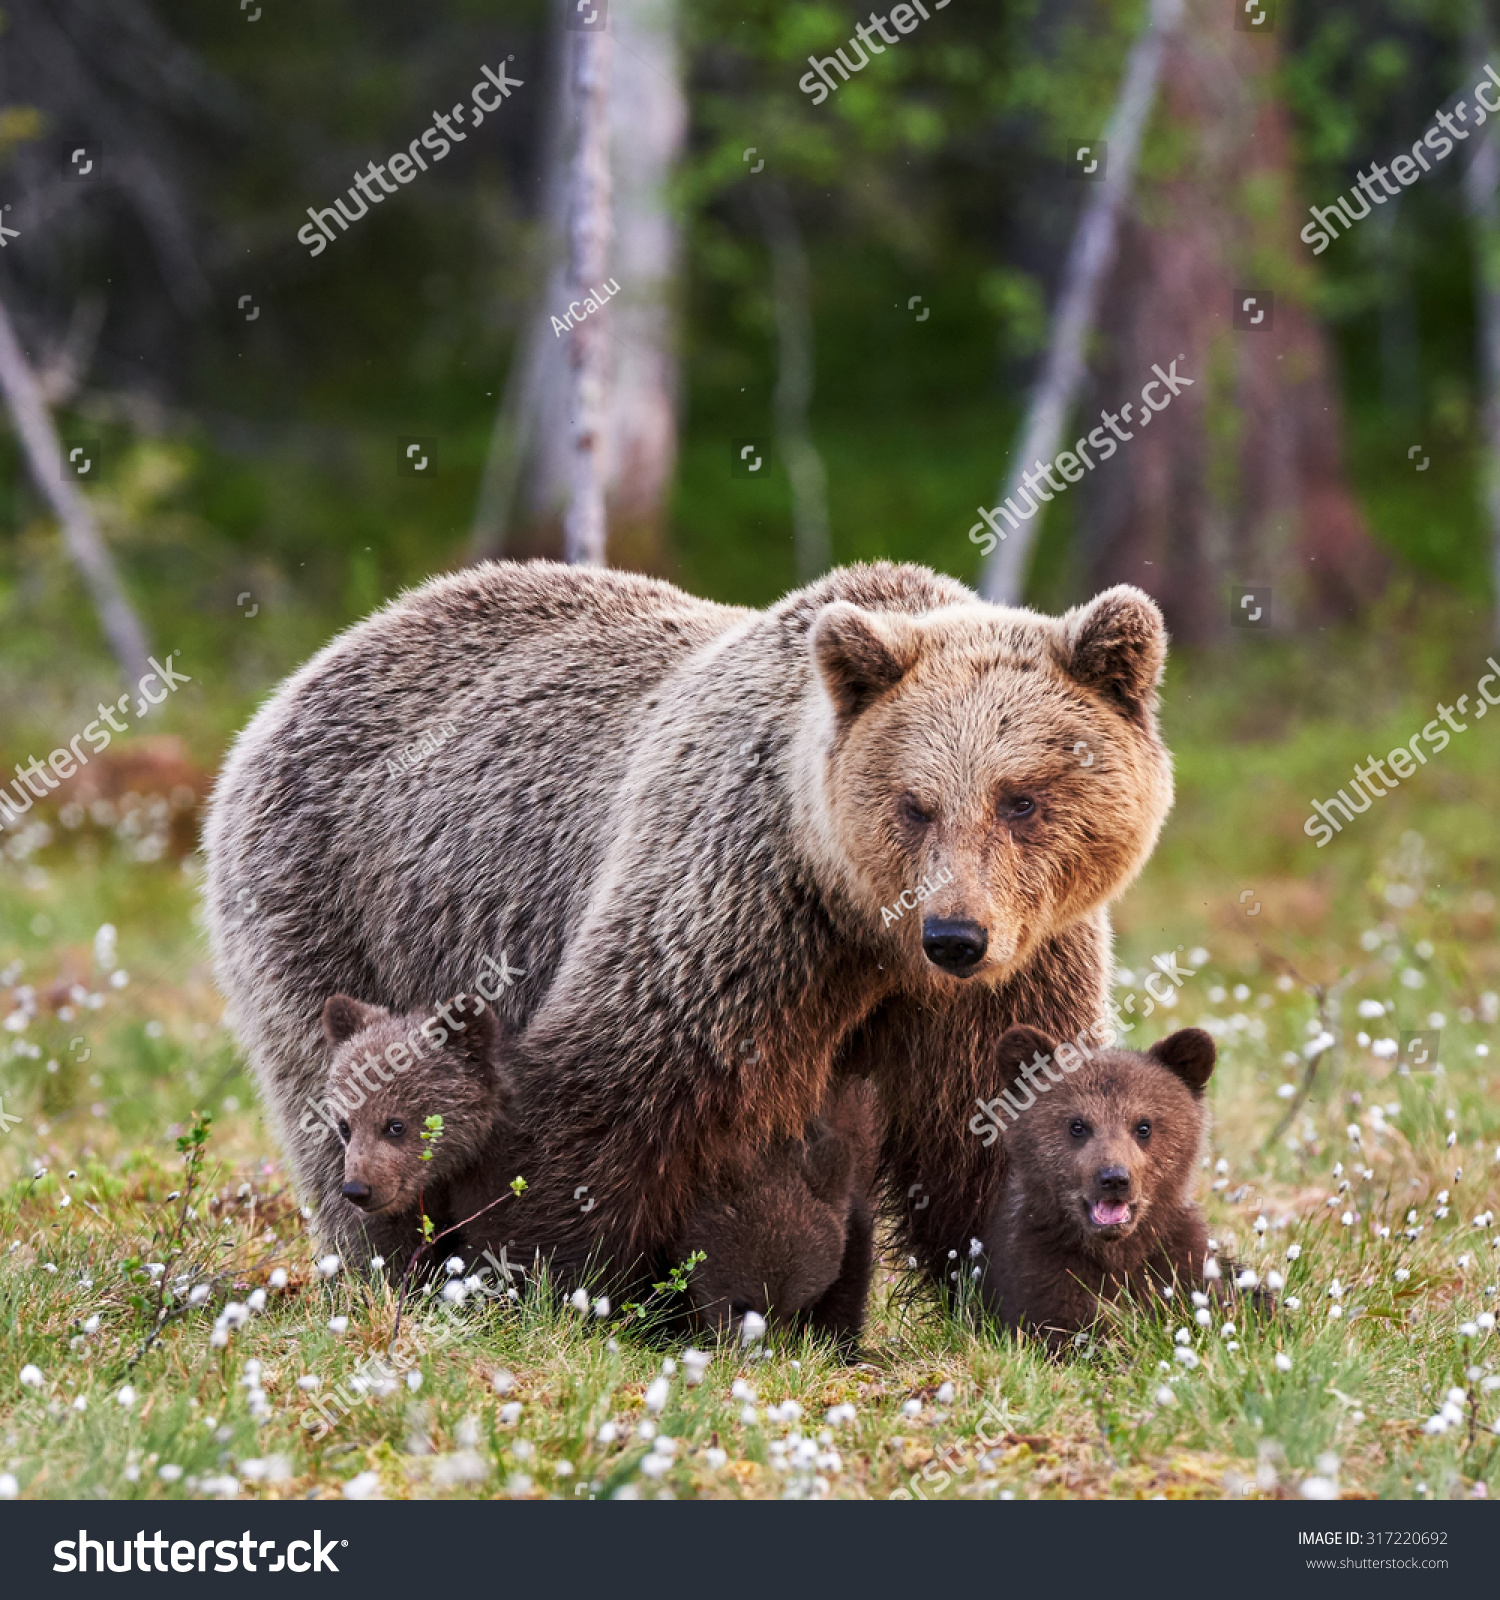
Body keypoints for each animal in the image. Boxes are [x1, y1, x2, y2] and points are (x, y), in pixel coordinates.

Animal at [204, 563, 1170, 1286]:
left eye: (1022, 799)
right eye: (914, 804)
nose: (956, 936)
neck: (864, 931)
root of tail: (318, 662)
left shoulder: (1015, 970)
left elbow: (995, 1115)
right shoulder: (737, 903)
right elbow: (615, 1088)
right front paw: (560, 1280)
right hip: (337, 902)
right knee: (350, 1097)